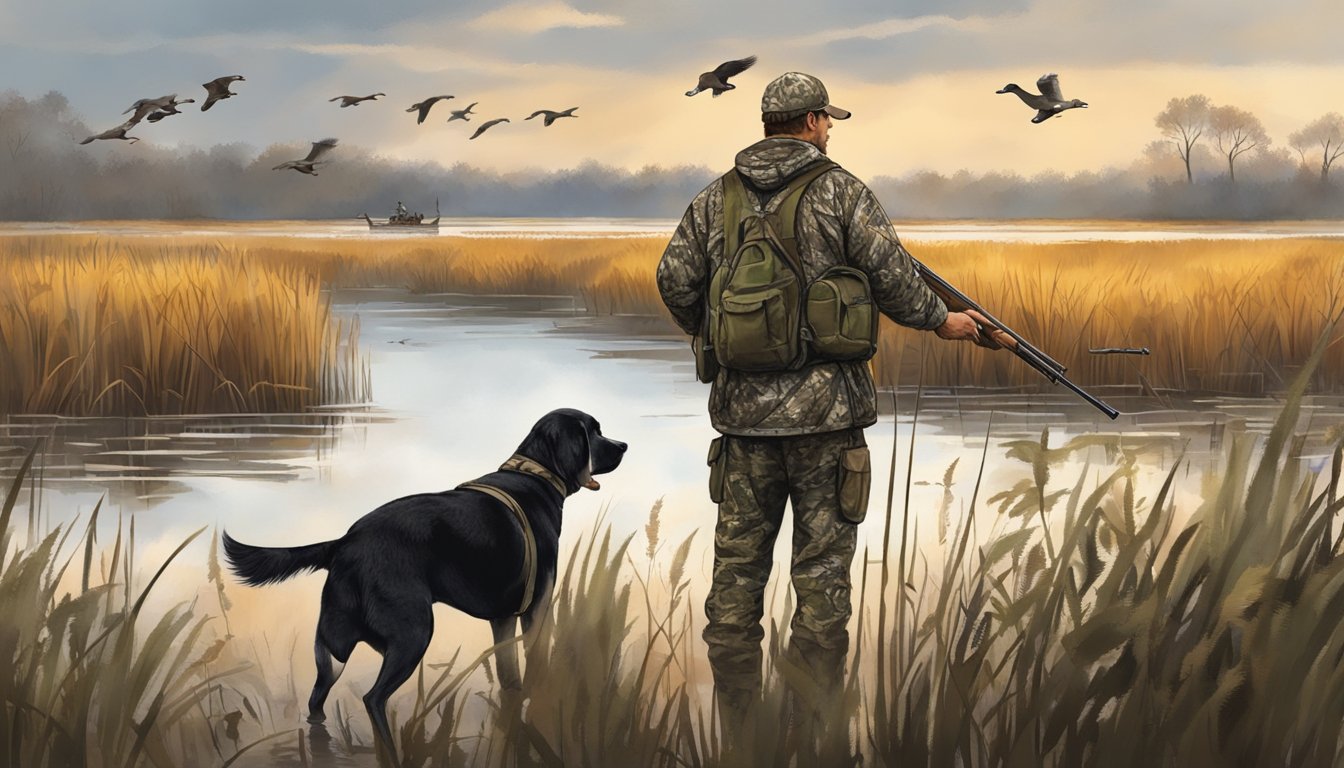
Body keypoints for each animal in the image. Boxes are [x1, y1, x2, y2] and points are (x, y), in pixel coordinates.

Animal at [223, 408, 626, 763]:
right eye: (593, 432)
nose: (623, 445)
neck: (535, 476)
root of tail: (345, 542)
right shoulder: (537, 608)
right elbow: (537, 664)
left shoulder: (503, 618)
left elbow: (510, 677)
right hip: (412, 633)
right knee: (373, 698)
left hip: (332, 647)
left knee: (317, 700)